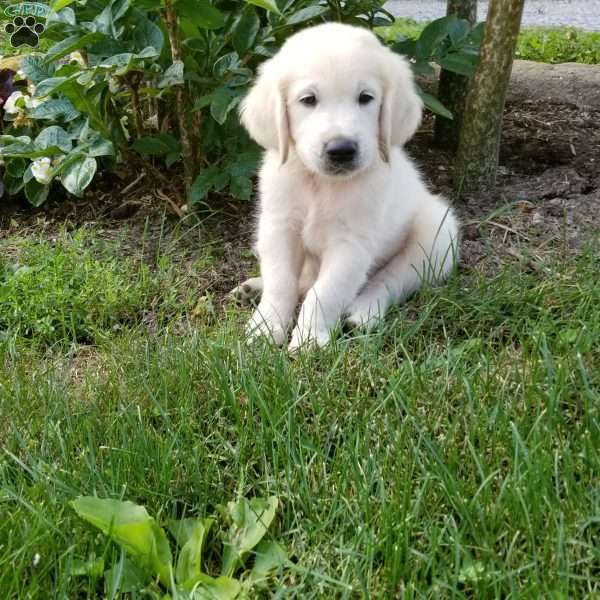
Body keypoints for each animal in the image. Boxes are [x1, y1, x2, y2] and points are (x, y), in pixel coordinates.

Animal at [232, 24, 458, 352]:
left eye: (366, 97)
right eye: (308, 100)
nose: (341, 150)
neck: (320, 184)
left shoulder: (351, 244)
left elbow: (325, 292)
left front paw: (309, 339)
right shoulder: (279, 227)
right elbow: (281, 281)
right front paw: (265, 327)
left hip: (436, 238)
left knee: (390, 279)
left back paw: (364, 311)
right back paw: (252, 287)